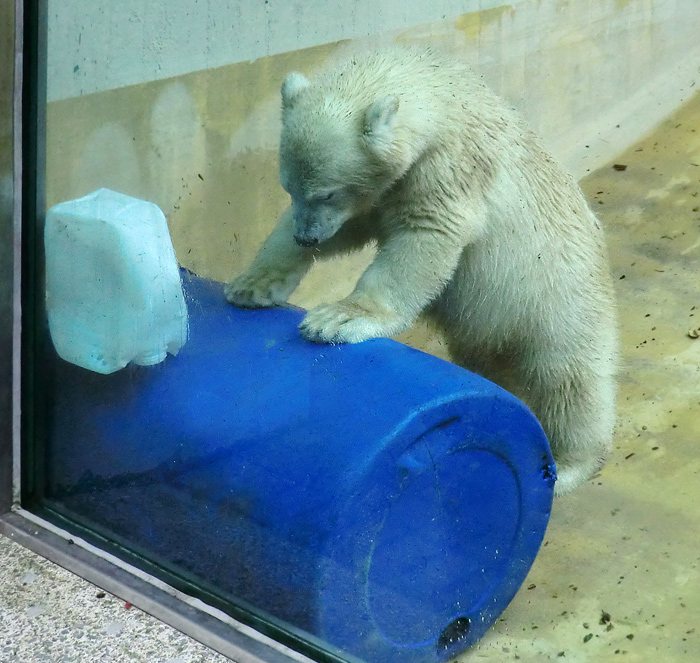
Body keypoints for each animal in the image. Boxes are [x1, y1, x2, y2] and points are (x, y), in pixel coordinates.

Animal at [227, 49, 620, 496]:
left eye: (327, 192)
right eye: (289, 187)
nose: (307, 237)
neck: (443, 96)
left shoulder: (449, 168)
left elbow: (427, 235)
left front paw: (339, 318)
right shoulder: (382, 190)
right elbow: (348, 228)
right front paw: (254, 284)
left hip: (558, 306)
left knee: (569, 385)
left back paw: (569, 465)